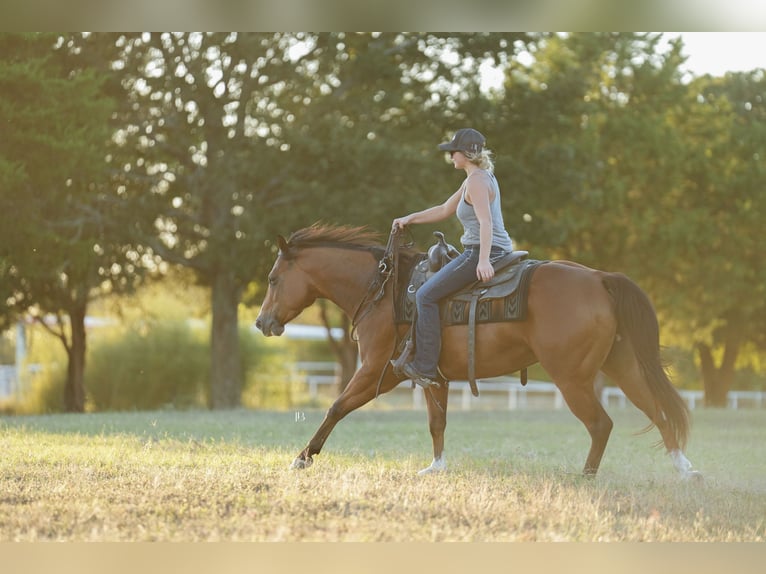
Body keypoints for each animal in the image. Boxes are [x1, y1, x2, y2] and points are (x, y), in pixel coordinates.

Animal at [255, 224, 702, 480]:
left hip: (572, 379)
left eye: (274, 278)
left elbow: (336, 407)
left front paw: (303, 457)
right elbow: (437, 424)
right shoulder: (432, 376)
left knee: (601, 424)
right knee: (658, 411)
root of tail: (600, 278)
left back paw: (586, 476)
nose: (261, 322)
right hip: (624, 367)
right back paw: (685, 470)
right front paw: (435, 468)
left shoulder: (377, 371)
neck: (387, 291)